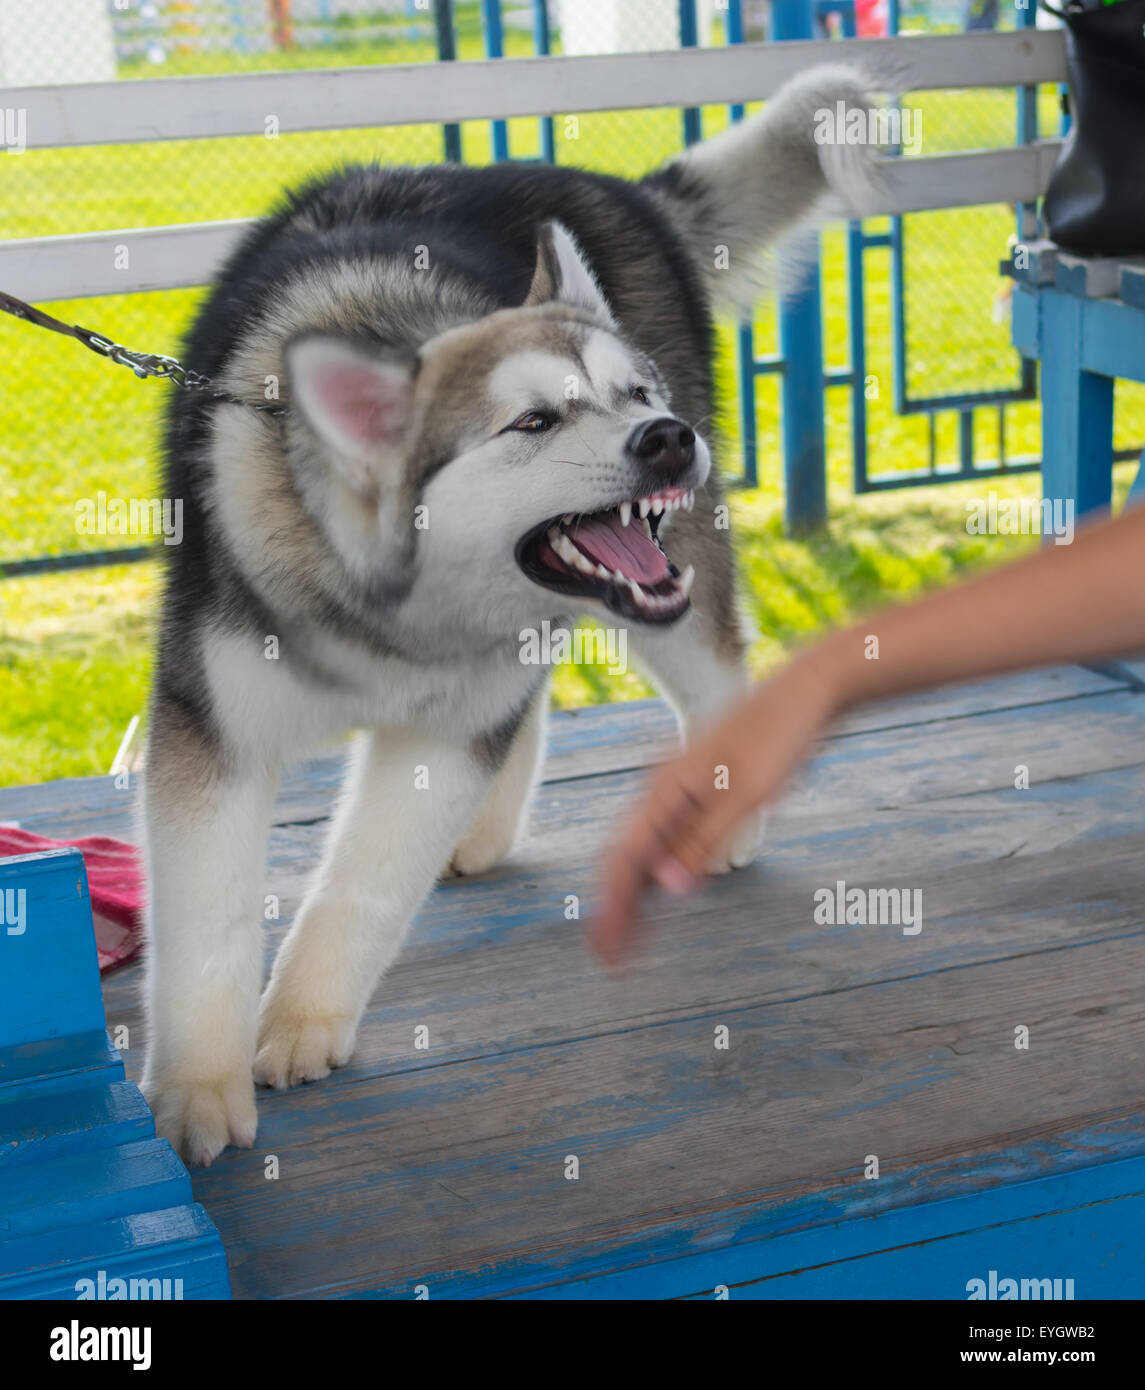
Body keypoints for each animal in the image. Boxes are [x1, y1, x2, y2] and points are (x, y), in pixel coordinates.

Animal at [141, 62, 878, 1162]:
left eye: (633, 393)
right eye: (531, 422)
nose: (668, 434)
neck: (397, 613)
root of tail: (609, 183)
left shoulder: (440, 735)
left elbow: (365, 884)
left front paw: (303, 1018)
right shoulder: (215, 730)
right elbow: (206, 920)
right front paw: (197, 1087)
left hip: (678, 575)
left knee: (708, 669)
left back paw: (720, 808)